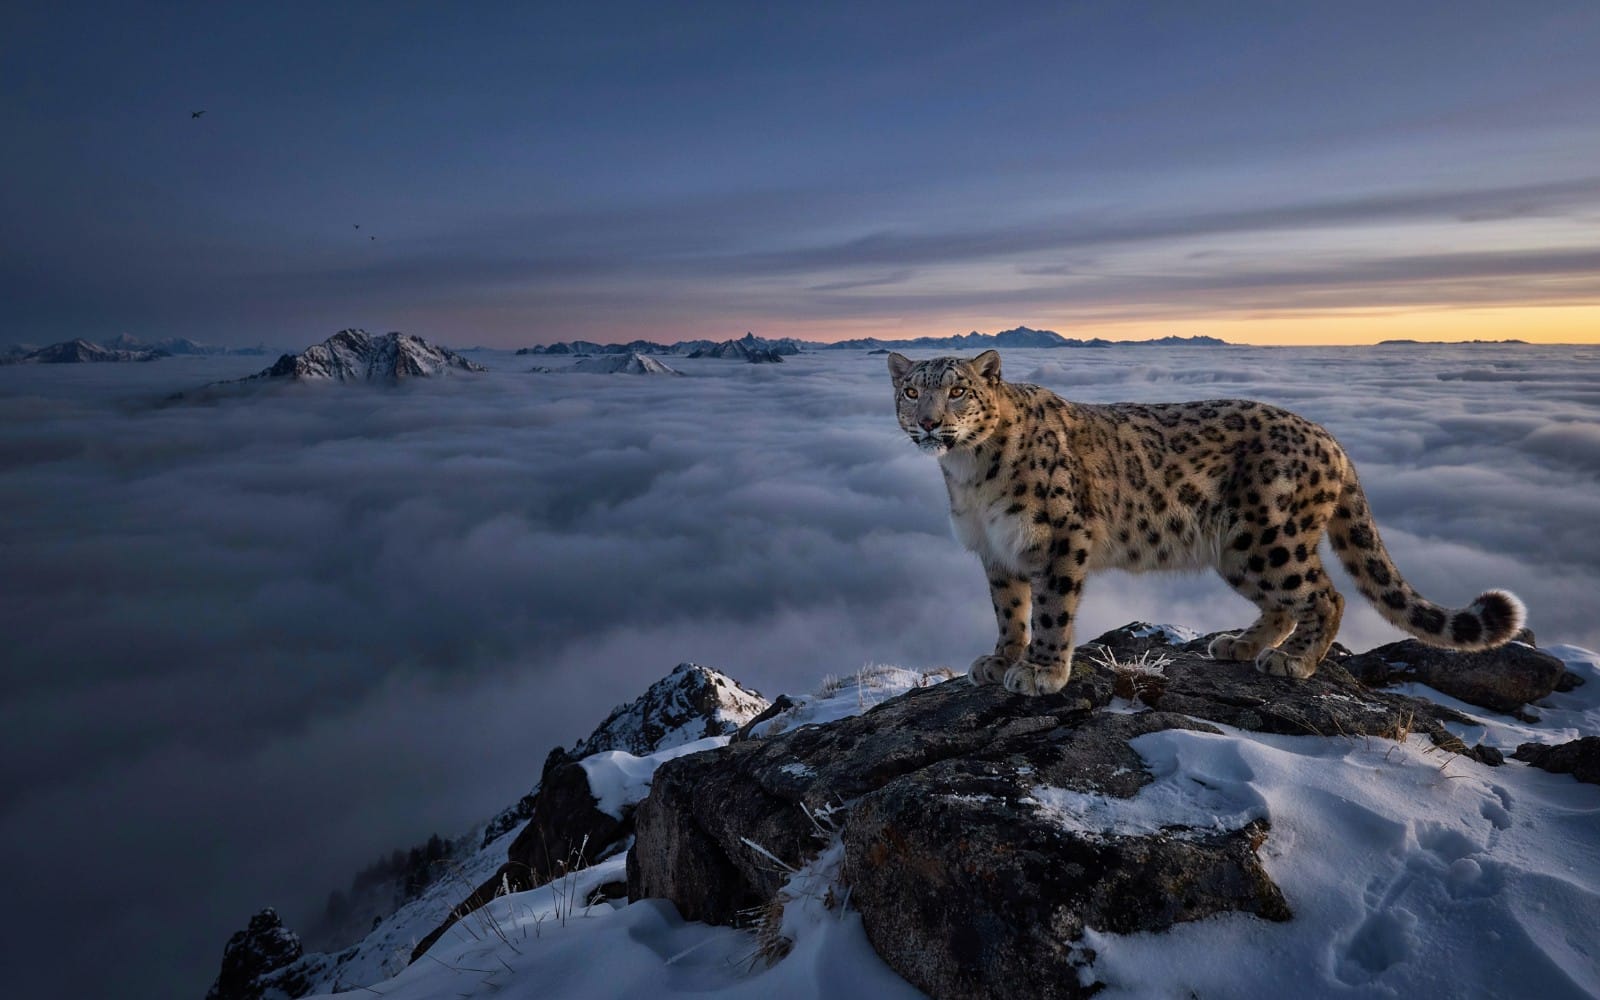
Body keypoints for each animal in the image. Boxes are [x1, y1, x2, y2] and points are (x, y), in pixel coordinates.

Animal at [888, 349, 1526, 696]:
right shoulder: (996, 551)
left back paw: (1293, 662)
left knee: (1326, 595)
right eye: (911, 390)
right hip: (1239, 551)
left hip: (1269, 537)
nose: (928, 423)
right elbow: (1009, 610)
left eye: (959, 389)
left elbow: (1050, 609)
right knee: (1283, 604)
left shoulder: (1059, 537)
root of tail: (1332, 441)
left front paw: (1041, 671)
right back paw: (1238, 645)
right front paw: (1000, 660)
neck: (970, 472)